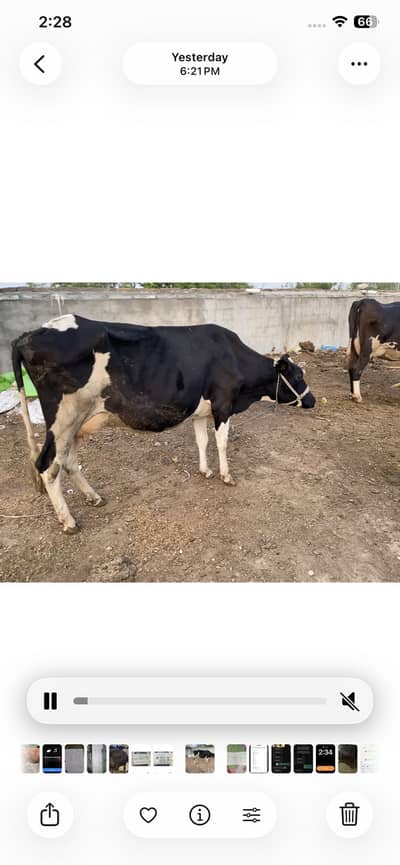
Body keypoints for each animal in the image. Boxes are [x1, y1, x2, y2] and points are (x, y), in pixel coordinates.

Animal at [11, 314, 315, 534]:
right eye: (299, 376)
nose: (312, 400)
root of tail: (32, 333)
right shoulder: (223, 404)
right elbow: (221, 442)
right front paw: (226, 475)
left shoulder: (201, 410)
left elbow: (202, 440)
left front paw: (205, 470)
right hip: (63, 418)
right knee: (48, 467)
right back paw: (69, 522)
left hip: (76, 422)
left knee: (69, 462)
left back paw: (94, 498)